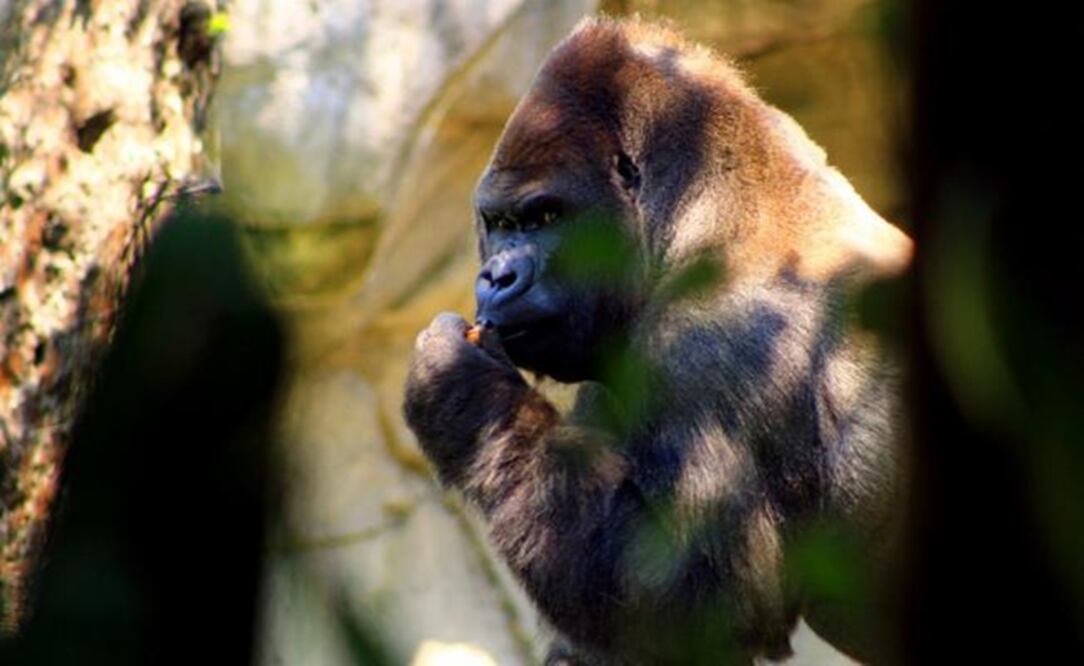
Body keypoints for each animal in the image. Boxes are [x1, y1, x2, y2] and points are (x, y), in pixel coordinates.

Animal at [403, 16, 912, 665]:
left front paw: (459, 390)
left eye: (544, 218)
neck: (712, 207)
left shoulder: (710, 343)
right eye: (500, 224)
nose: (496, 277)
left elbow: (696, 602)